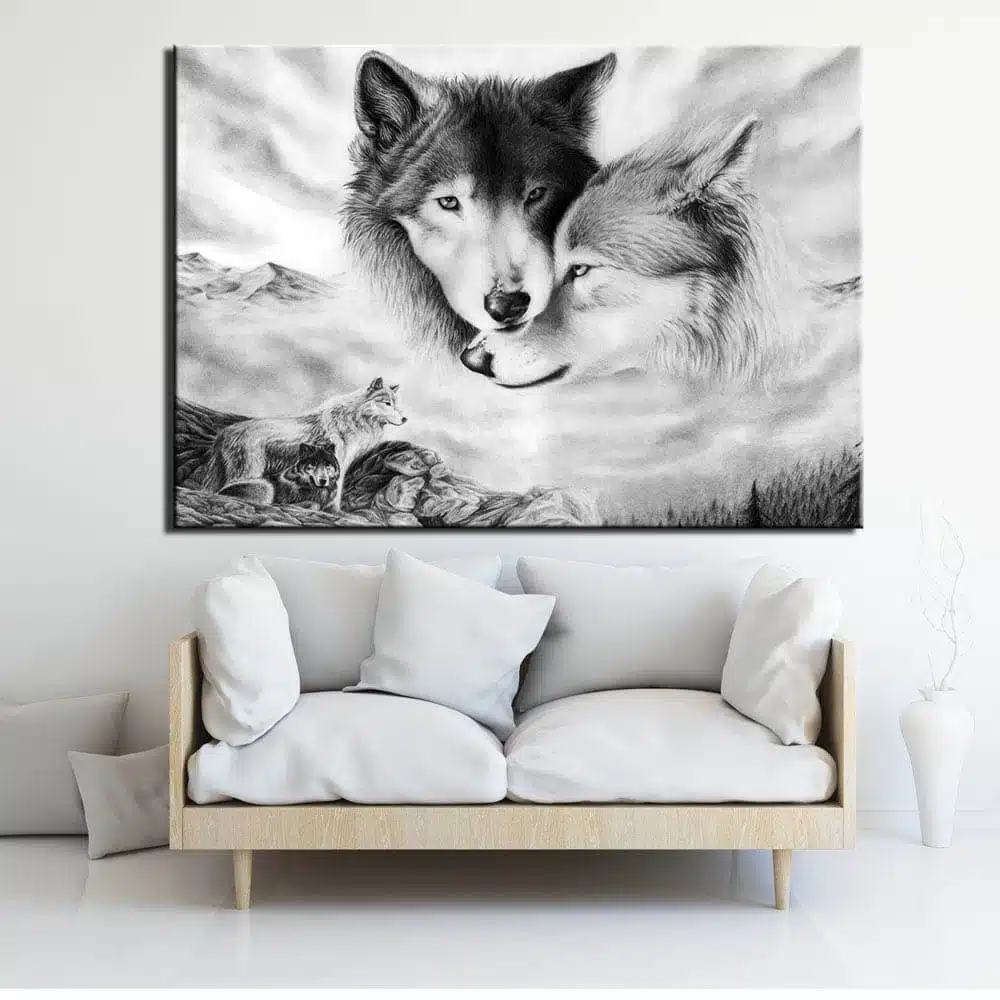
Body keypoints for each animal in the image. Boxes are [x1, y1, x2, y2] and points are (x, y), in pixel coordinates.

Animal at [203, 378, 405, 511]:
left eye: (397, 404)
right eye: (387, 403)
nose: (405, 418)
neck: (353, 418)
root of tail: (224, 432)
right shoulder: (338, 462)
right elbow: (336, 493)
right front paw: (334, 512)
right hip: (249, 472)